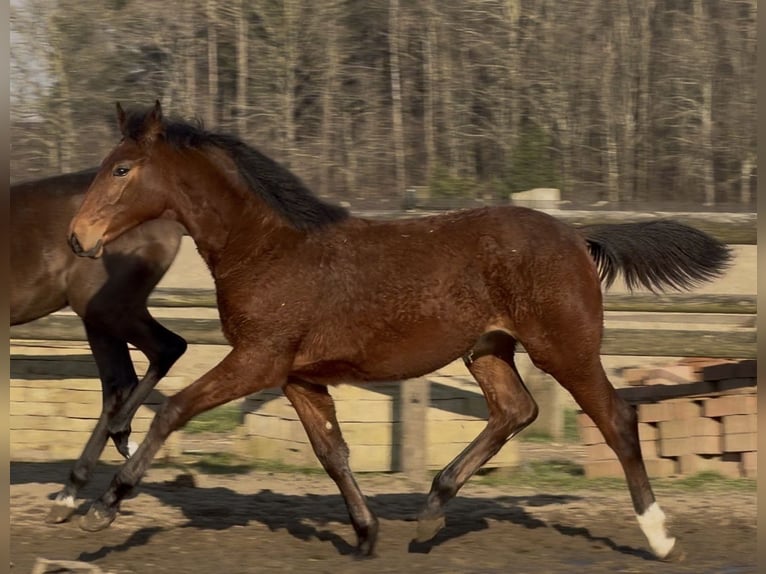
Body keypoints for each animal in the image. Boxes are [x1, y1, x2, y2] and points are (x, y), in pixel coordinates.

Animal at [10, 167, 188, 524]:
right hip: (98, 316)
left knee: (166, 349)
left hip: (108, 309)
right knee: (118, 385)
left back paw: (119, 443)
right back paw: (72, 492)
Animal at [67, 100, 731, 561]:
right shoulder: (296, 375)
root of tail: (576, 234)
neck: (267, 249)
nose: (78, 237)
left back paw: (660, 536)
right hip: (487, 349)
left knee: (616, 419)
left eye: (121, 168)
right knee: (515, 410)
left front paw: (103, 506)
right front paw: (365, 535)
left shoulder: (256, 359)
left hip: (564, 347)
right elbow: (332, 451)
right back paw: (432, 509)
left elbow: (171, 410)